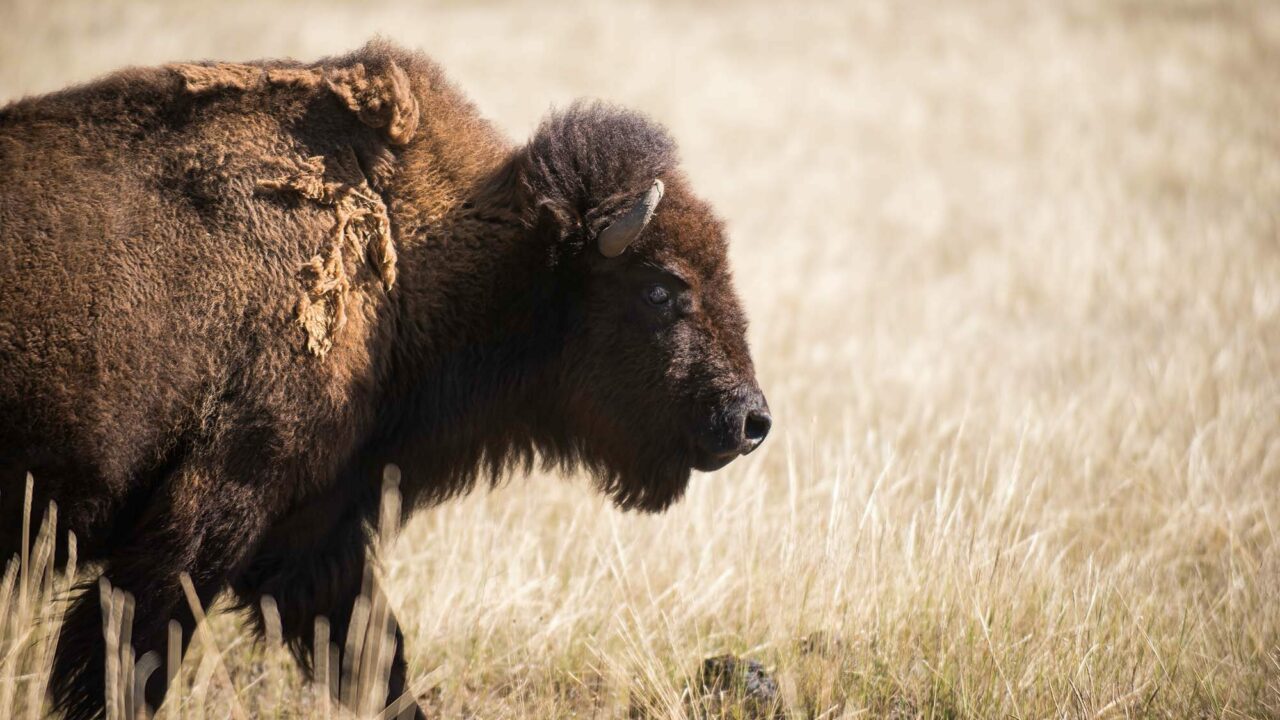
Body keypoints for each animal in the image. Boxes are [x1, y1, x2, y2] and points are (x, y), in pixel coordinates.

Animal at [0, 40, 768, 717]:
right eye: (661, 289)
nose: (750, 420)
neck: (412, 250)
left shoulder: (315, 537)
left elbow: (379, 665)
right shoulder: (212, 510)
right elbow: (125, 661)